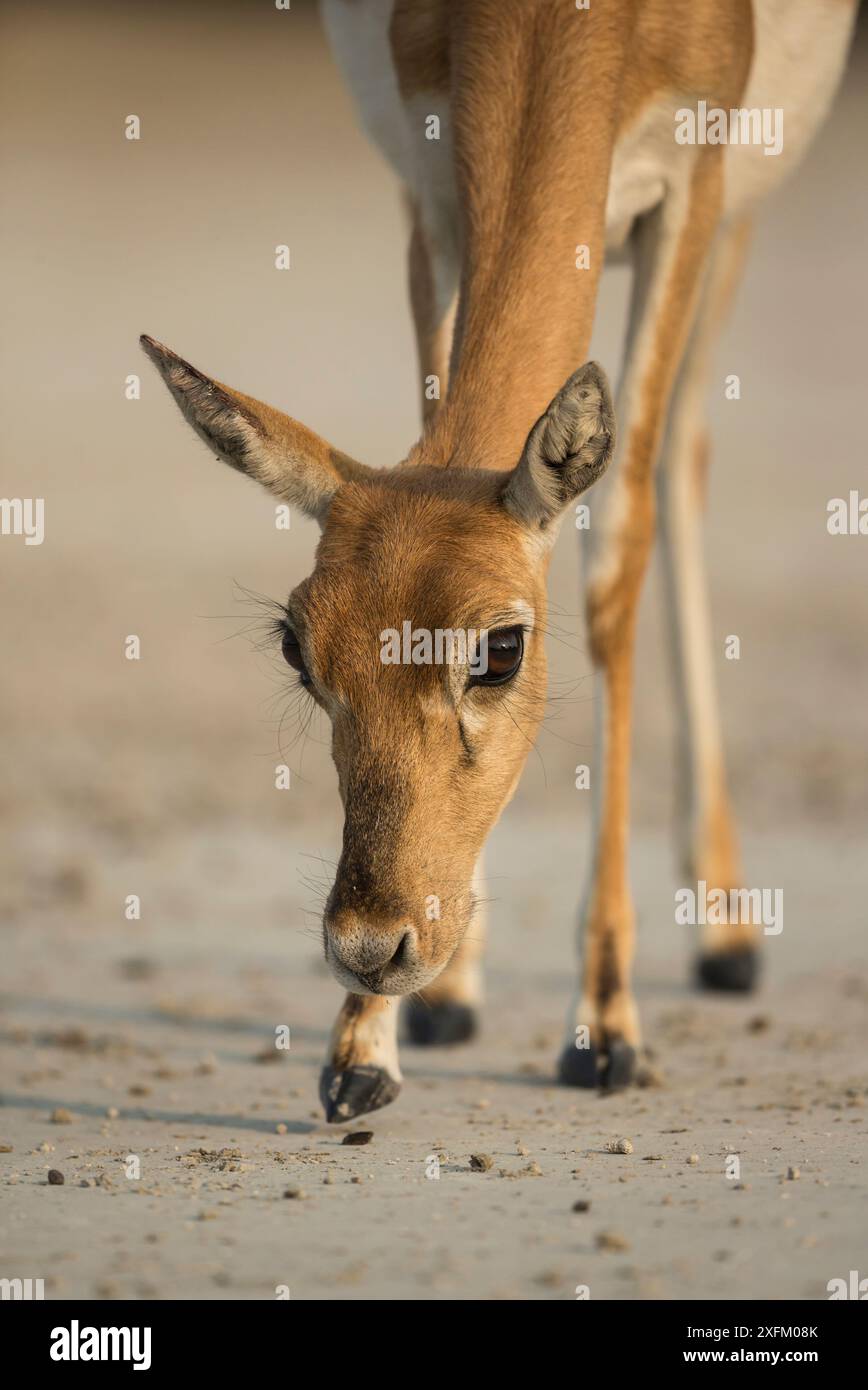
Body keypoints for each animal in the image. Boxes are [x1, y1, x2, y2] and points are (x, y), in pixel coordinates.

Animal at [142, 0, 856, 1123]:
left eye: (501, 649)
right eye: (300, 651)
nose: (369, 944)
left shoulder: (689, 194)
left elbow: (618, 554)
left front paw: (603, 1028)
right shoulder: (430, 194)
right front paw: (365, 1050)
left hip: (735, 231)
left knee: (681, 460)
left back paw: (727, 934)